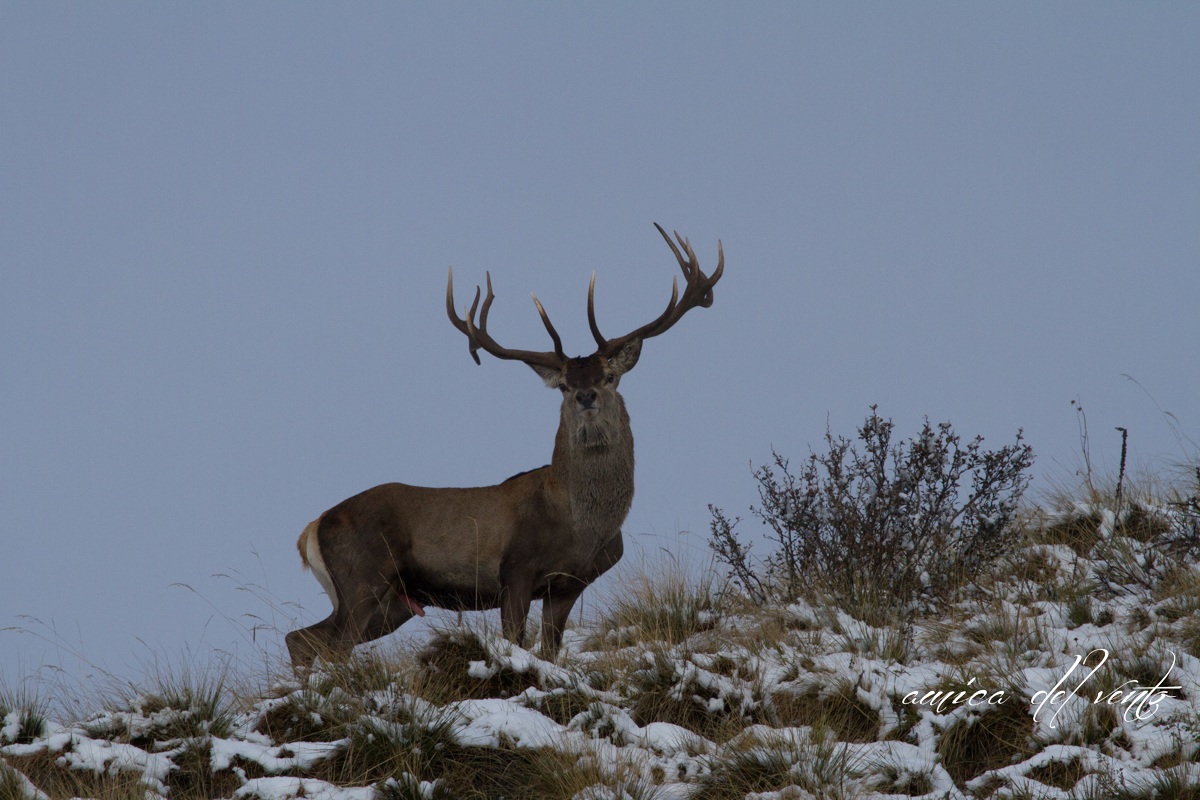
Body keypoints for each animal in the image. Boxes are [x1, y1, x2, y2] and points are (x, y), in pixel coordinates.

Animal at [285, 224, 723, 670]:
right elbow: (515, 641)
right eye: (564, 384)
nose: (585, 396)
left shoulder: (568, 585)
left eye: (609, 376)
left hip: (392, 602)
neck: (581, 524)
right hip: (362, 576)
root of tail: (311, 529)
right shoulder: (515, 570)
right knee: (330, 644)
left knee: (303, 639)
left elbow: (551, 647)